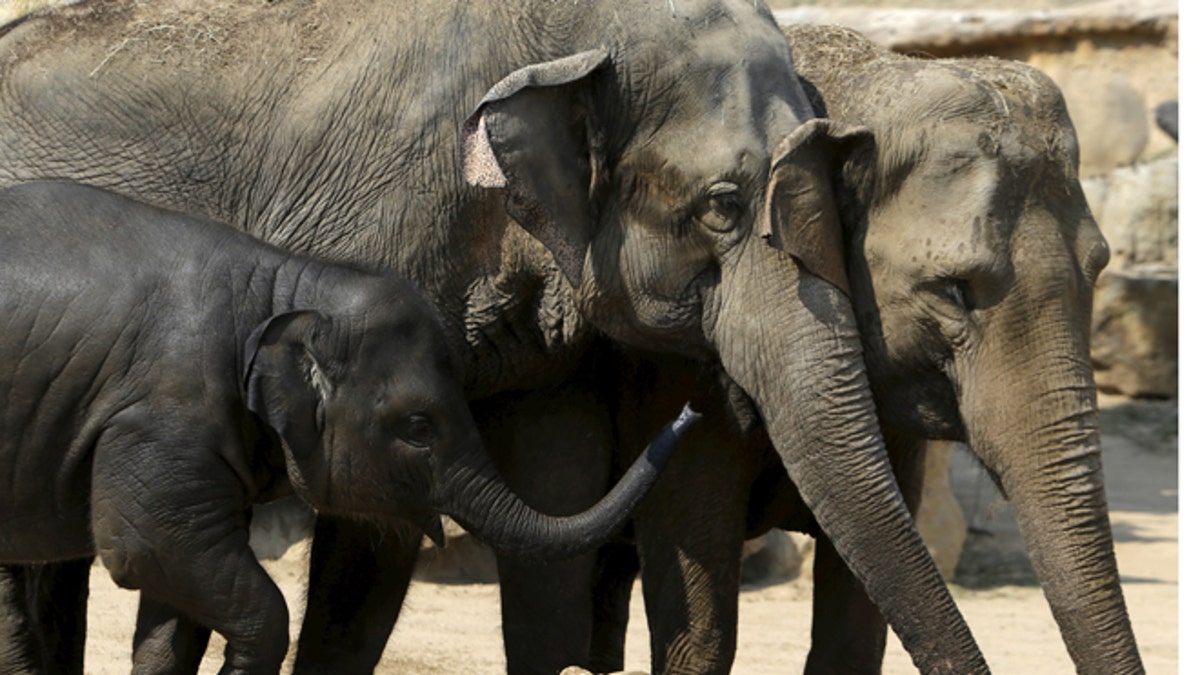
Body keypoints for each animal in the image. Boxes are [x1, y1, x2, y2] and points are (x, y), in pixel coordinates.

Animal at [0, 181, 696, 667]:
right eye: (419, 426)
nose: (692, 409)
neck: (282, 284)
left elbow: (171, 611)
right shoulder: (163, 422)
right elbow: (149, 552)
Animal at [520, 23, 1137, 672]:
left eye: (1099, 268)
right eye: (955, 290)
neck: (865, 79)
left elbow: (859, 612)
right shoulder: (674, 363)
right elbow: (702, 616)